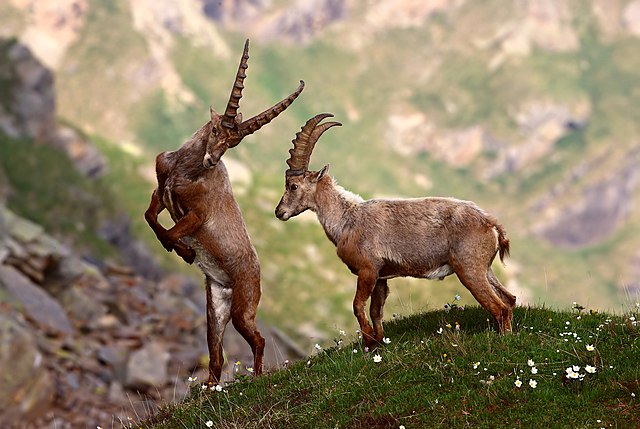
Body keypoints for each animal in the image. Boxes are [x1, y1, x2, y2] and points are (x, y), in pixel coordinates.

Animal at [144, 39, 304, 384]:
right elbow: (151, 218)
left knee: (258, 339)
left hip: (243, 308)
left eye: (234, 143)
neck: (185, 170)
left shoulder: (197, 216)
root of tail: (254, 277)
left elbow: (172, 233)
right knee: (216, 355)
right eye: (217, 129)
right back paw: (209, 389)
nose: (211, 160)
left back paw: (256, 377)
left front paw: (186, 253)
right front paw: (184, 251)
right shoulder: (161, 192)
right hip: (215, 306)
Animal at [275, 113, 516, 347]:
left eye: (293, 186)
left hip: (469, 270)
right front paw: (379, 343)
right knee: (510, 299)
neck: (347, 220)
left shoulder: (368, 270)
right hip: (484, 268)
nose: (279, 212)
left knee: (500, 307)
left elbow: (357, 306)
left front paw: (368, 343)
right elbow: (376, 310)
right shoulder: (381, 276)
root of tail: (489, 221)